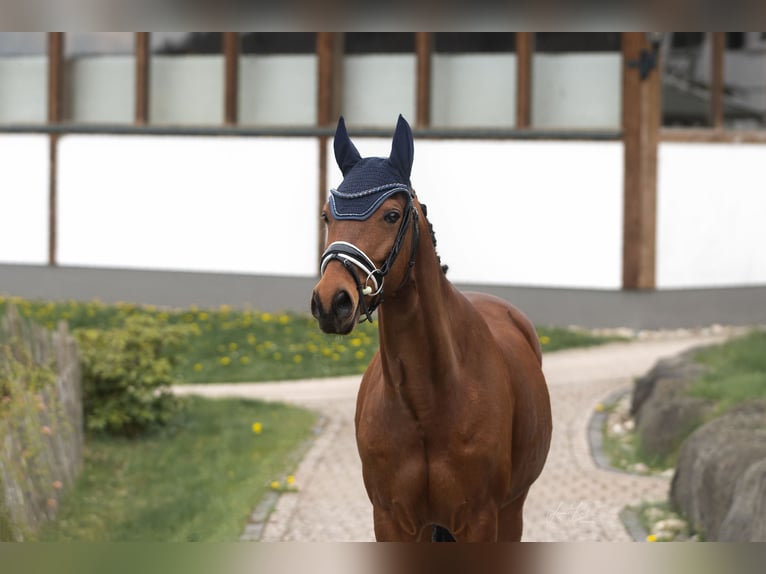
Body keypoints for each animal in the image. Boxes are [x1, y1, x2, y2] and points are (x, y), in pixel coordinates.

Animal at [310, 115, 552, 542]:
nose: (331, 301)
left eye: (391, 215)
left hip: (512, 510)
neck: (427, 401)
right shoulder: (391, 520)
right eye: (327, 215)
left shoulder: (480, 520)